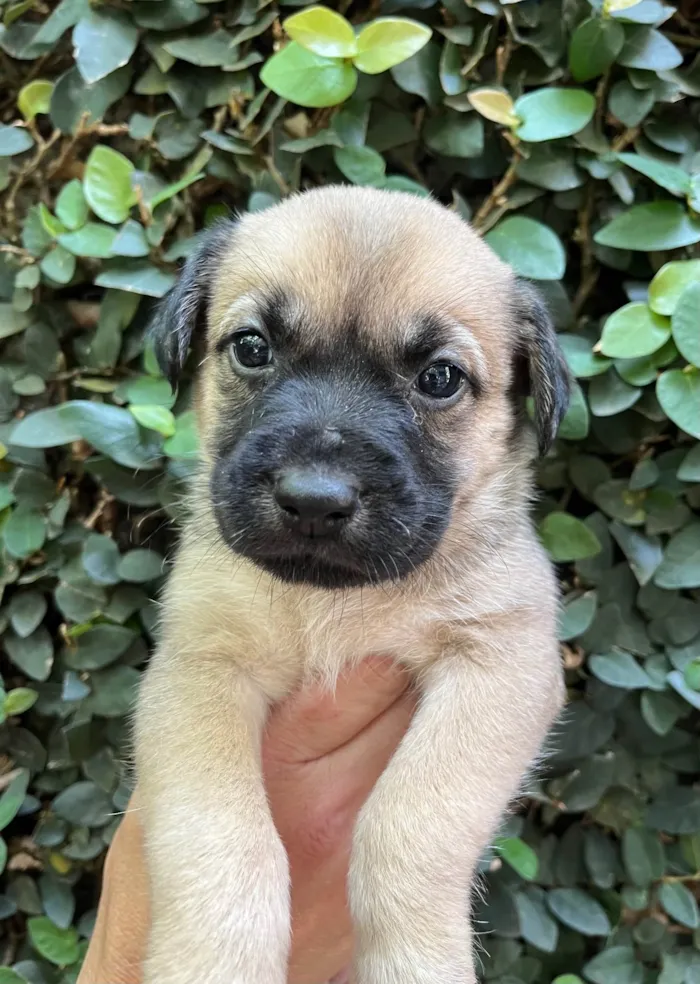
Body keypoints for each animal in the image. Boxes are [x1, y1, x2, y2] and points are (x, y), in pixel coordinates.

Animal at [135, 186, 568, 984]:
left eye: (439, 378)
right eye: (252, 347)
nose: (313, 500)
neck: (334, 599)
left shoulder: (501, 664)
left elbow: (408, 823)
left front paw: (417, 958)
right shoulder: (198, 670)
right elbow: (216, 837)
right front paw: (211, 961)